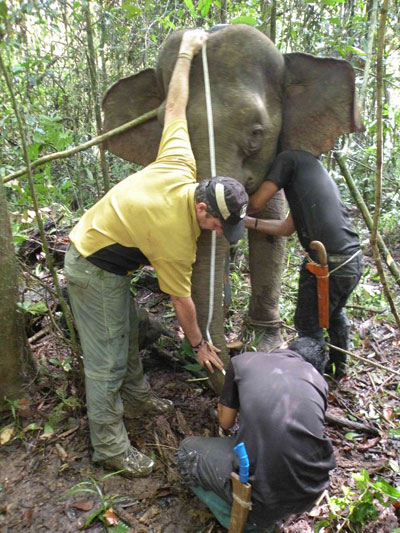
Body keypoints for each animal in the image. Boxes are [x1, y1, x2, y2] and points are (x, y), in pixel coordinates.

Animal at [102, 23, 362, 390]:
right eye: (163, 126)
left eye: (256, 133)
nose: (221, 361)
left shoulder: (280, 157)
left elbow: (272, 229)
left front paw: (265, 344)